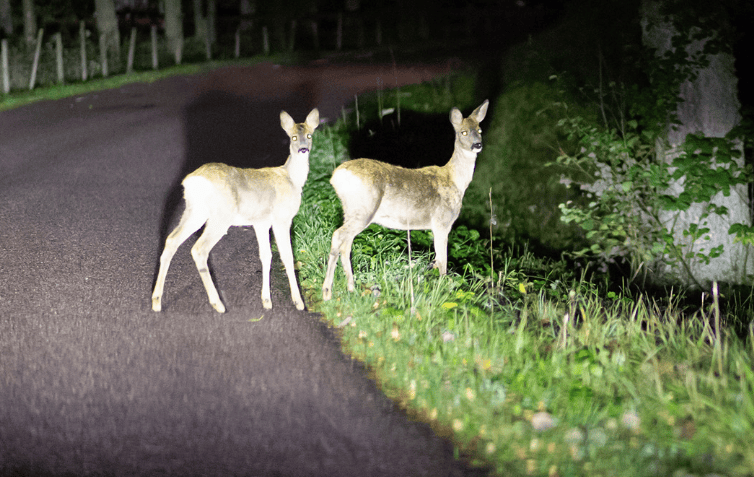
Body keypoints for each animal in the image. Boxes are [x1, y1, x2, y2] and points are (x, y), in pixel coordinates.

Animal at [152, 108, 320, 313]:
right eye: (293, 137)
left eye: (309, 135)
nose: (303, 149)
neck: (292, 178)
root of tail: (192, 181)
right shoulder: (282, 218)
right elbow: (287, 256)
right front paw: (298, 302)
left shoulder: (261, 222)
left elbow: (266, 256)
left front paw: (266, 301)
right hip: (220, 216)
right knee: (199, 249)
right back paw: (218, 304)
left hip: (195, 211)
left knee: (171, 240)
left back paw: (156, 301)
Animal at [322, 99, 489, 301]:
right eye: (463, 132)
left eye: (479, 129)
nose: (477, 145)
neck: (455, 180)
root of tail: (336, 176)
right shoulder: (442, 222)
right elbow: (442, 261)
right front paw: (443, 290)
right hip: (364, 209)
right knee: (338, 235)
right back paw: (327, 292)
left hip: (351, 210)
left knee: (346, 244)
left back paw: (351, 288)